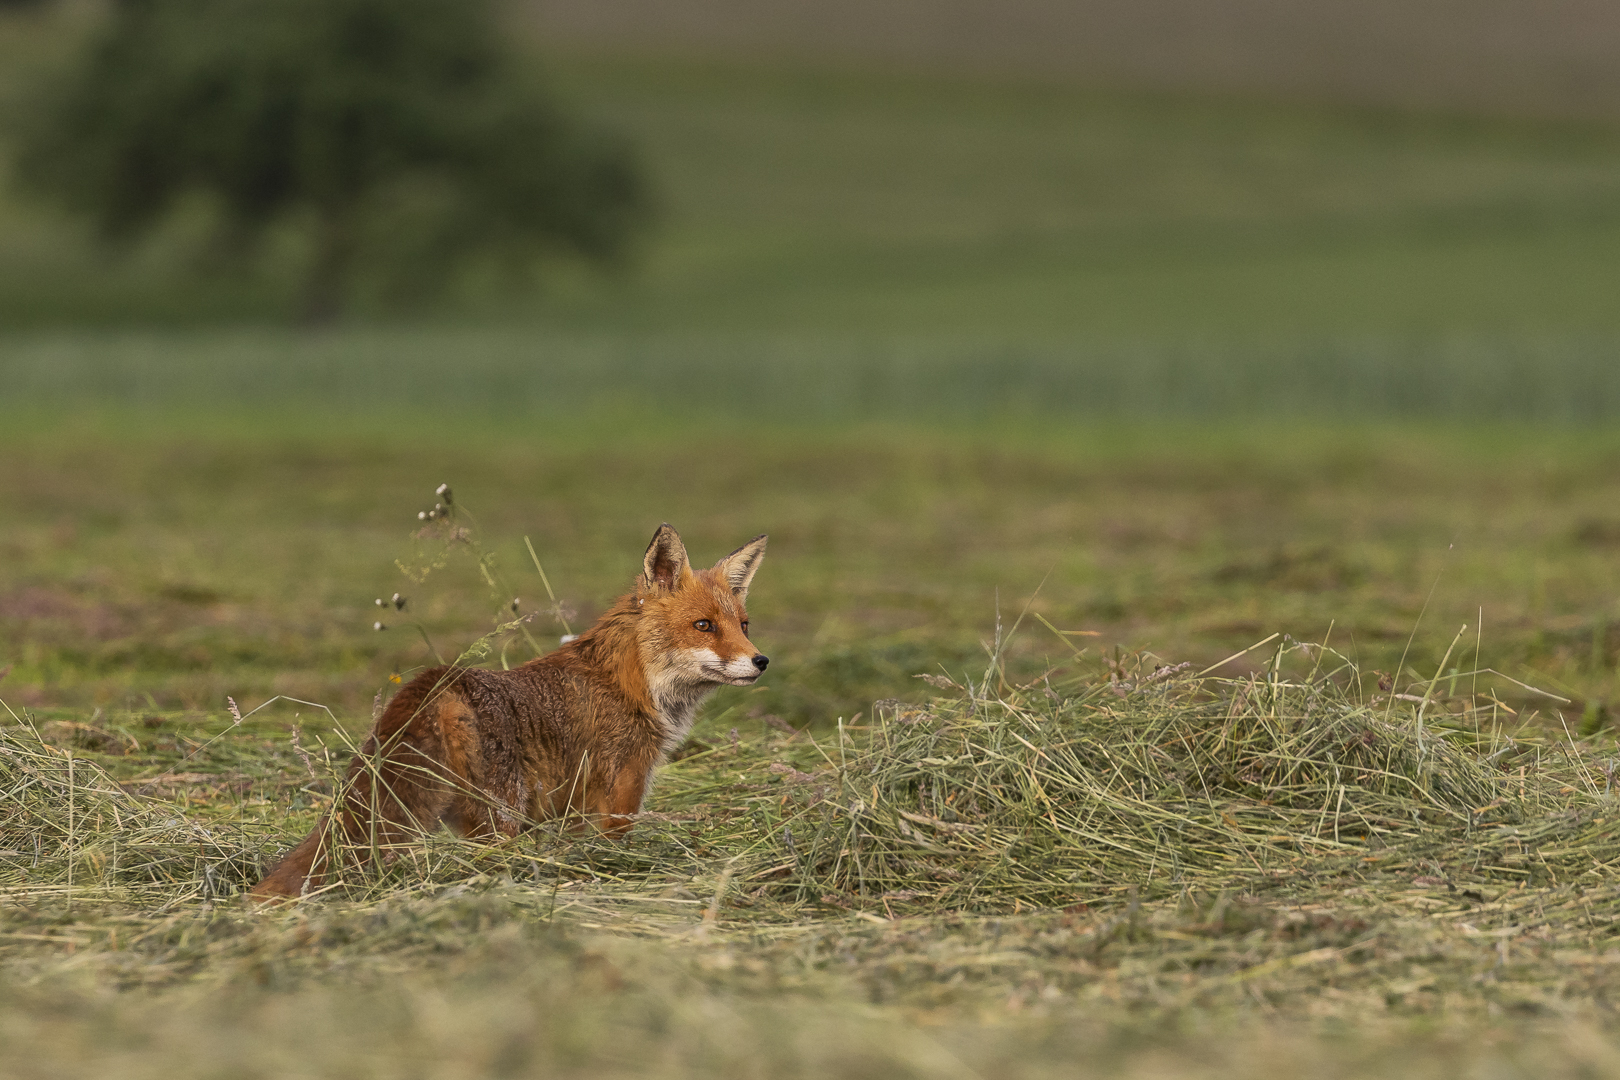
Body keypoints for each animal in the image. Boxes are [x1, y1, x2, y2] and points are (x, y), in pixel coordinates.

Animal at [249, 527, 767, 900]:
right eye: (704, 625)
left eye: (743, 626)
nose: (761, 661)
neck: (629, 681)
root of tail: (435, 679)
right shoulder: (621, 792)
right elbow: (611, 847)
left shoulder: (574, 812)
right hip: (502, 822)